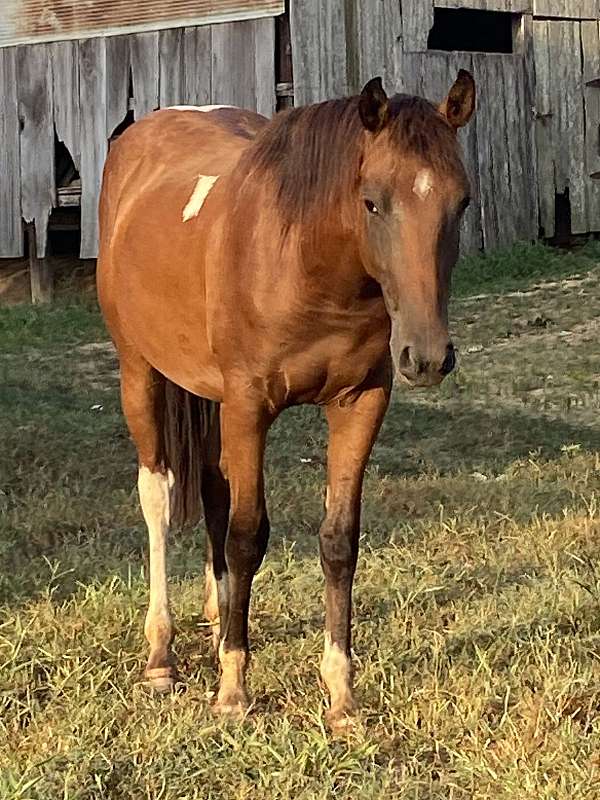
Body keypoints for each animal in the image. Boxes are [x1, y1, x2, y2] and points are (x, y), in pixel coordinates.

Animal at [97, 71, 475, 730]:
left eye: (462, 203)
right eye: (372, 201)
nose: (426, 357)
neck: (304, 259)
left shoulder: (360, 405)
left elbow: (338, 539)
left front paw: (341, 696)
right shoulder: (250, 406)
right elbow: (249, 535)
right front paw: (232, 691)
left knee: (213, 488)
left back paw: (219, 617)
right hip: (140, 371)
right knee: (159, 495)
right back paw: (161, 655)